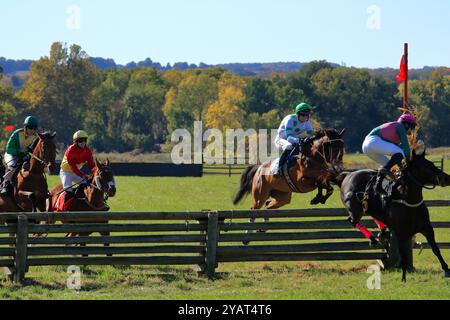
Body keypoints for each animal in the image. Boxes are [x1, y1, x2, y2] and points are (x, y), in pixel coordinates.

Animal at [338, 142, 450, 282]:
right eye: (426, 166)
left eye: (432, 164)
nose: (447, 178)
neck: (408, 200)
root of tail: (347, 175)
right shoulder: (402, 233)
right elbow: (403, 255)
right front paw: (404, 277)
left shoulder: (427, 228)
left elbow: (435, 249)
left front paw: (446, 270)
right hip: (355, 209)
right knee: (353, 220)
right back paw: (374, 239)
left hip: (367, 207)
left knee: (372, 217)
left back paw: (383, 232)